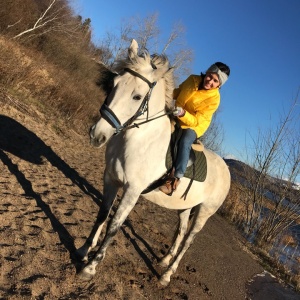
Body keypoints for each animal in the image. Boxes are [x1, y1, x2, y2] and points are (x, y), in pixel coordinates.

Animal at [76, 39, 231, 286]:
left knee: (188, 241)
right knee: (181, 231)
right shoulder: (110, 179)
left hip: (204, 212)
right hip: (185, 207)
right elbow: (102, 214)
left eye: (137, 97)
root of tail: (226, 169)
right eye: (115, 83)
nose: (97, 135)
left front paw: (90, 267)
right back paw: (164, 260)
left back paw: (166, 275)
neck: (139, 139)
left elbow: (114, 226)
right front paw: (83, 250)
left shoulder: (132, 191)